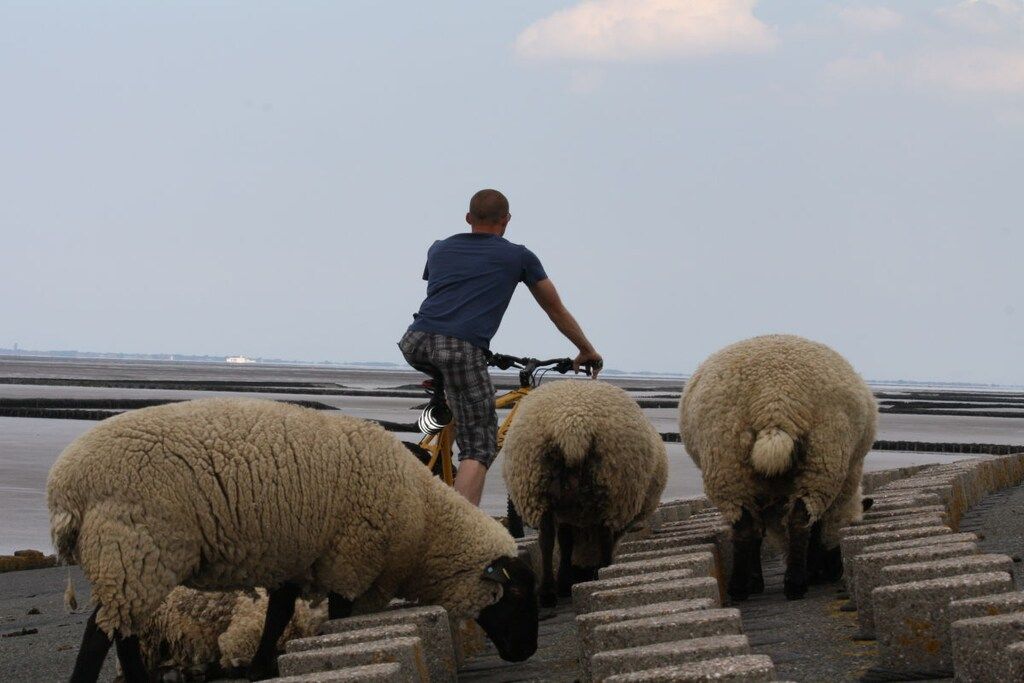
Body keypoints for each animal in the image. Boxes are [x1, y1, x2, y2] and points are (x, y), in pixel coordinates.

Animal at [502, 380, 668, 607]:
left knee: (546, 541)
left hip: (538, 488)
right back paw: (603, 571)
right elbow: (595, 541)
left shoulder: (567, 513)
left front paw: (564, 582)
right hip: (613, 491)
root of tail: (572, 427)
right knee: (605, 537)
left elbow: (565, 542)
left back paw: (548, 593)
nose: (581, 573)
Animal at [679, 334, 877, 601]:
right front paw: (813, 569)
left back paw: (740, 588)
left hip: (726, 463)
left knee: (743, 527)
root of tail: (775, 398)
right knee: (801, 519)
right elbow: (815, 527)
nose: (836, 572)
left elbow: (758, 533)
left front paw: (755, 581)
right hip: (824, 457)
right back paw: (796, 584)